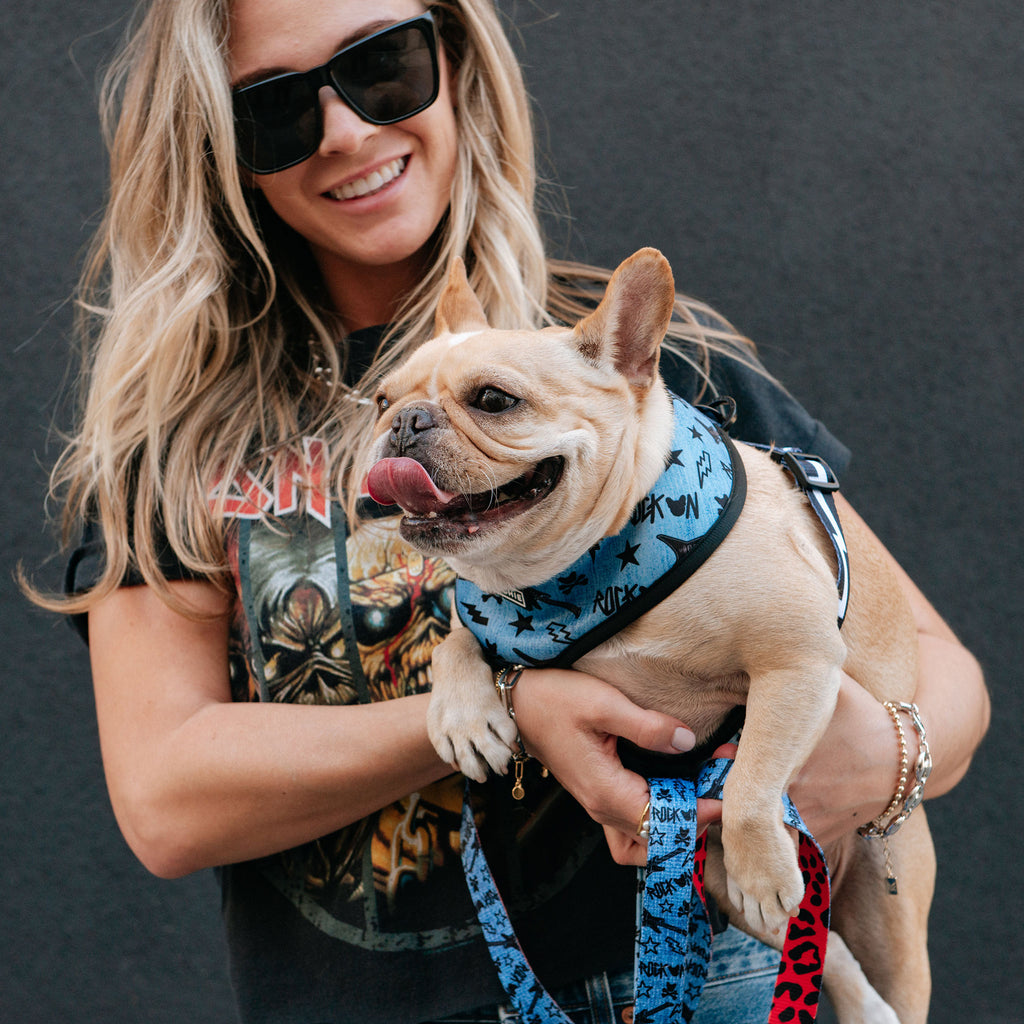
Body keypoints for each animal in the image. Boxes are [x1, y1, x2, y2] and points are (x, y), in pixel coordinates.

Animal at [362, 248, 935, 1023]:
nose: (405, 422)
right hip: (726, 879)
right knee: (818, 945)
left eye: (493, 400)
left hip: (890, 910)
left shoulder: (797, 661)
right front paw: (463, 716)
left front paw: (760, 855)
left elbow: (752, 775)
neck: (579, 571)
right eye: (382, 400)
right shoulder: (488, 608)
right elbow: (460, 633)